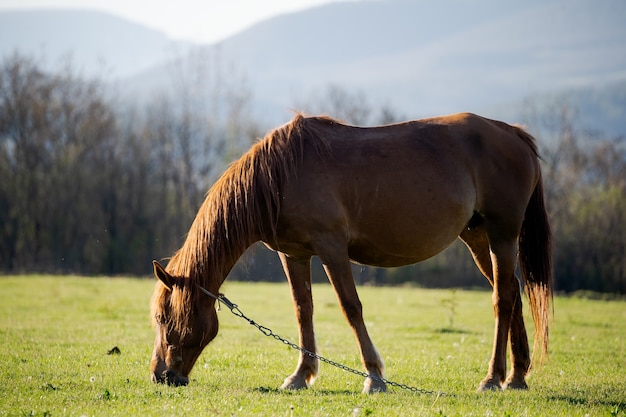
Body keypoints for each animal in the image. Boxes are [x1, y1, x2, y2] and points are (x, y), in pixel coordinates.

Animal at [150, 112, 552, 392]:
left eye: (163, 318)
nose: (160, 375)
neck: (280, 175)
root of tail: (512, 133)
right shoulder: (293, 254)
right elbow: (303, 310)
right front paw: (301, 376)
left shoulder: (332, 248)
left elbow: (350, 307)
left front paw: (374, 377)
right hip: (479, 238)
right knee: (512, 293)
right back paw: (517, 377)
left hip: (502, 235)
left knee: (502, 299)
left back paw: (493, 378)